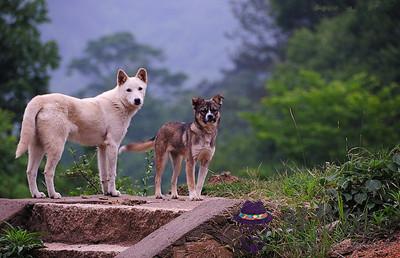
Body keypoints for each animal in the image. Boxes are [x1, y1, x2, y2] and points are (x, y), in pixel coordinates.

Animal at [16, 68, 148, 198]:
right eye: (128, 90)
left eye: (140, 88)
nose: (137, 100)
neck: (119, 103)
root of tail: (41, 98)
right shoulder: (113, 145)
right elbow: (112, 173)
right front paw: (114, 192)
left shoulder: (102, 147)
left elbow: (103, 174)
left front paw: (107, 193)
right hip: (56, 148)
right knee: (48, 171)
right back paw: (53, 194)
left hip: (37, 148)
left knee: (30, 171)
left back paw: (37, 194)